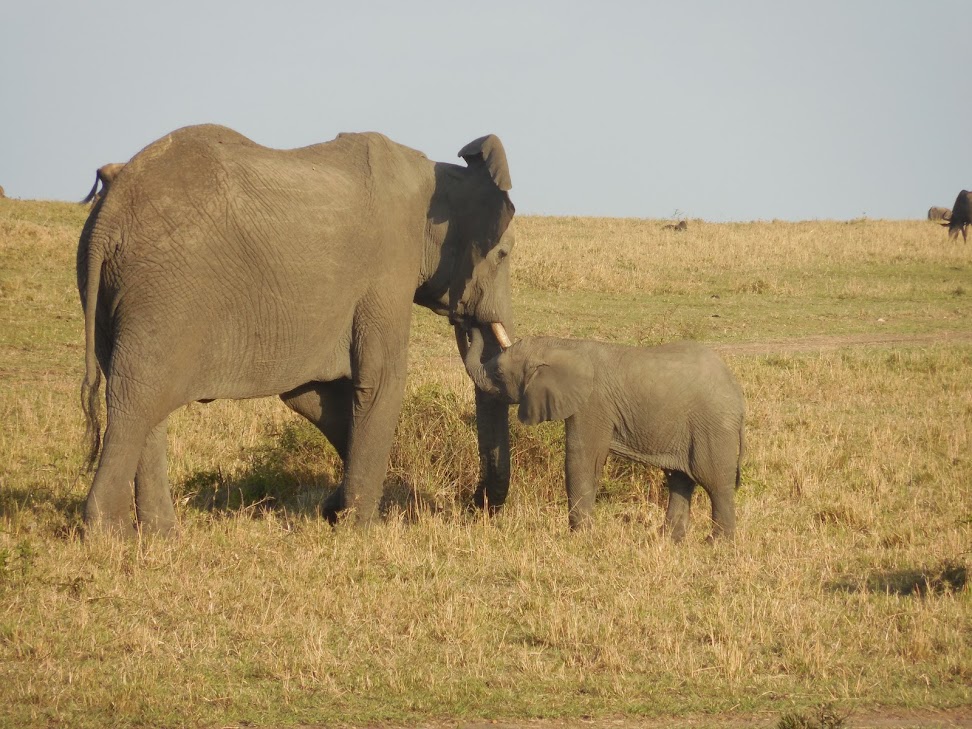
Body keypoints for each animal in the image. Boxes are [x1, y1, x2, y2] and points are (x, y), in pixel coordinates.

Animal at [79, 125, 516, 536]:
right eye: (503, 254)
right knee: (136, 399)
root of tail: (108, 216)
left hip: (114, 296)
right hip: (164, 291)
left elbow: (310, 395)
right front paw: (362, 528)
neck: (438, 175)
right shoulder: (389, 266)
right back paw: (109, 535)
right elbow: (381, 381)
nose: (472, 505)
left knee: (145, 405)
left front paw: (335, 511)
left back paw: (162, 535)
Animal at [464, 330, 744, 540]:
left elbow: (582, 458)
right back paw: (666, 540)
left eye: (499, 373)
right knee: (680, 480)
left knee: (715, 482)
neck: (564, 346)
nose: (470, 327)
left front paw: (579, 537)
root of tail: (736, 391)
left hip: (714, 426)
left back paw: (716, 543)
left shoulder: (592, 403)